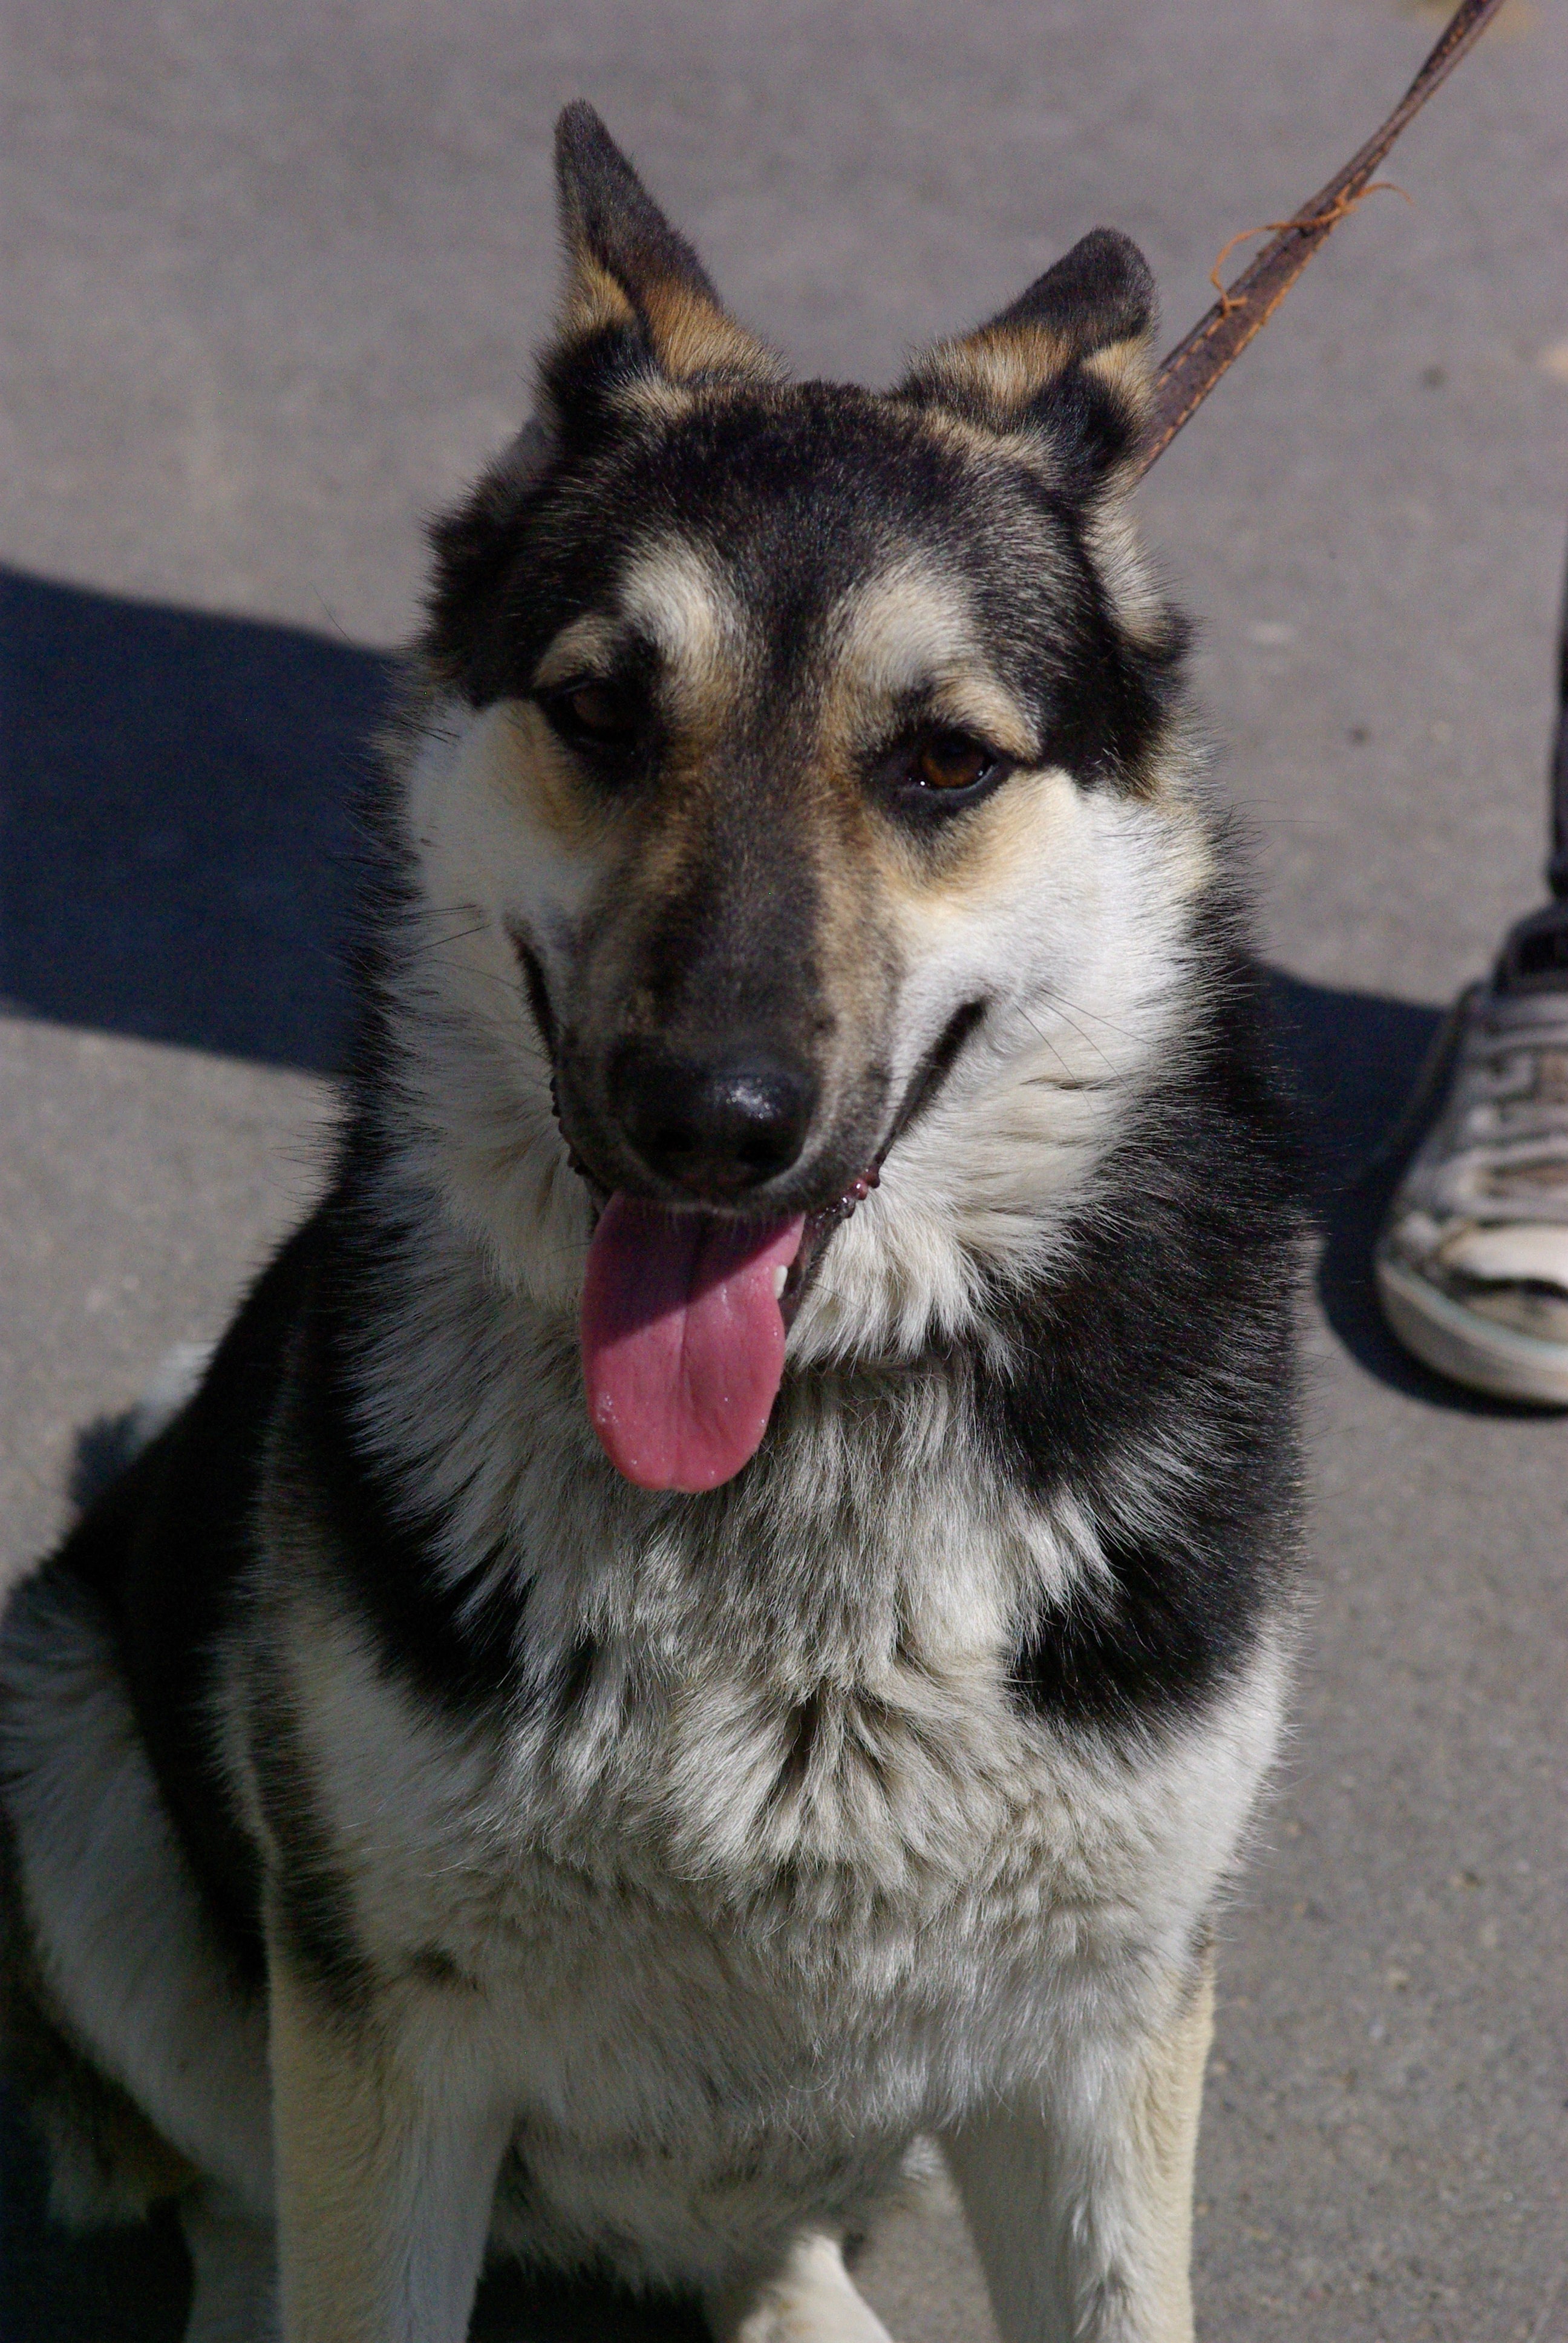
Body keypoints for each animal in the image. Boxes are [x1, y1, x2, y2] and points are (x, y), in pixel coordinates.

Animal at [0, 102, 1301, 2343]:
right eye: (601, 709)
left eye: (941, 761)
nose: (704, 1125)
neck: (791, 1465)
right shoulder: (387, 2053)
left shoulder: (1098, 2051)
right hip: (78, 1751)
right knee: (226, 2197)